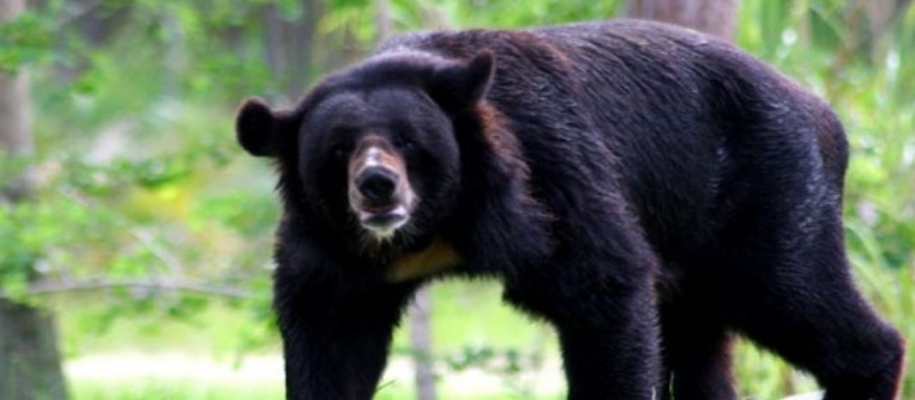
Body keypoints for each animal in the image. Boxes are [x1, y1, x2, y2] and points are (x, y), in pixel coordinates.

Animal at [235, 19, 904, 400]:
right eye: (339, 150)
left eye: (408, 143)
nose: (378, 188)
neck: (431, 230)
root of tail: (824, 113)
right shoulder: (334, 255)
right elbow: (331, 333)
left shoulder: (550, 174)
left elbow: (605, 285)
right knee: (700, 346)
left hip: (772, 194)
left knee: (796, 295)